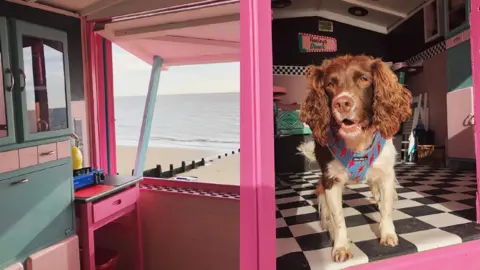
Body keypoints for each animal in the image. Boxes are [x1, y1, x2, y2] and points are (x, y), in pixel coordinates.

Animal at [296, 54, 412, 262]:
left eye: (364, 79)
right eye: (330, 84)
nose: (342, 103)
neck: (357, 141)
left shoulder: (385, 174)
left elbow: (386, 209)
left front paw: (387, 233)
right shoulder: (331, 180)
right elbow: (338, 217)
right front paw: (340, 246)